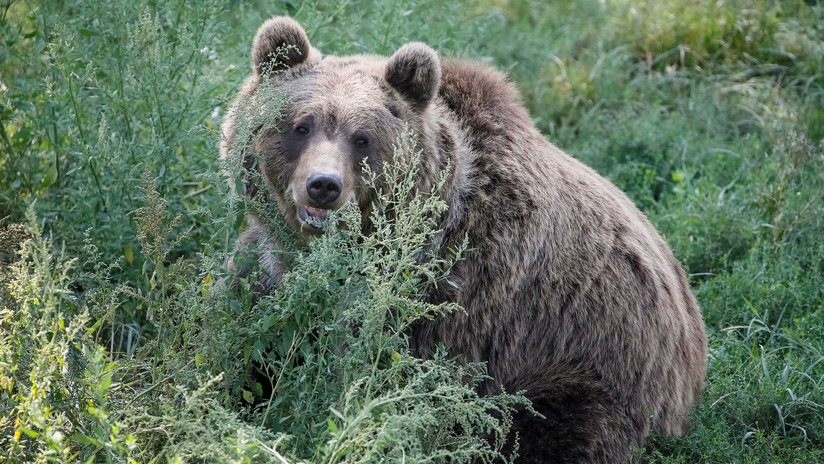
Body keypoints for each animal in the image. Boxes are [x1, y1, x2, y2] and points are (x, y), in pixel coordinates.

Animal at [220, 16, 708, 463]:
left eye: (363, 139)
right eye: (301, 125)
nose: (323, 185)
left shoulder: (458, 290)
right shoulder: (269, 265)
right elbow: (245, 337)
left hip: (593, 363)